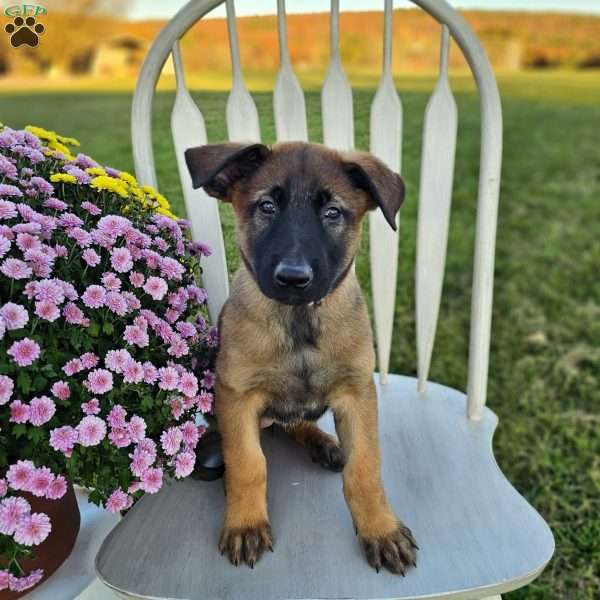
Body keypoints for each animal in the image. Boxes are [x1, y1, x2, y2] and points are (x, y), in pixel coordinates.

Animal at [184, 142, 418, 576]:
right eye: (266, 207)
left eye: (333, 213)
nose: (293, 278)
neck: (298, 320)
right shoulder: (236, 394)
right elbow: (247, 463)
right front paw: (245, 522)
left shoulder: (357, 393)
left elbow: (365, 468)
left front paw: (380, 529)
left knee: (296, 424)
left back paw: (323, 443)